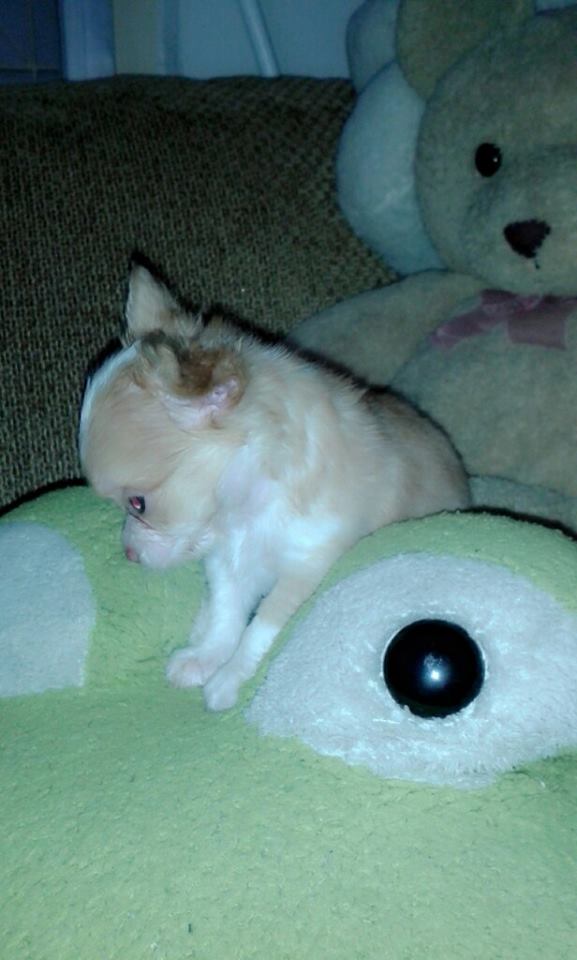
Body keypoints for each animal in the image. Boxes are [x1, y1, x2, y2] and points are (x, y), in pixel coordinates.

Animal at [79, 263, 470, 711]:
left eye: (138, 504)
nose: (128, 553)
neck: (246, 514)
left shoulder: (307, 567)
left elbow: (260, 629)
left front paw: (228, 679)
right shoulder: (227, 563)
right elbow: (227, 615)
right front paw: (204, 657)